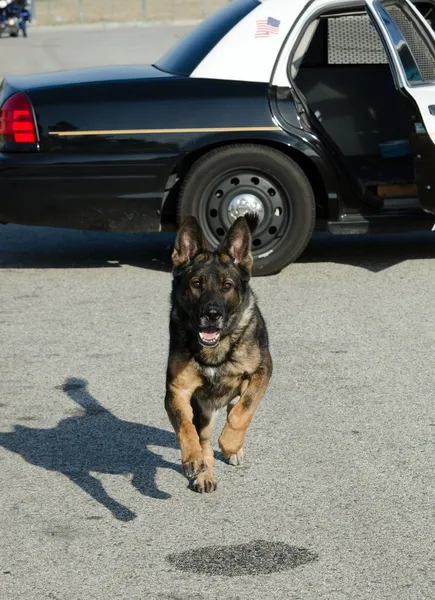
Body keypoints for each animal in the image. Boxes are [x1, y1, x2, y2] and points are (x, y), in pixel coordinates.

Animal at [165, 213, 274, 494]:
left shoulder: (262, 371)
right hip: (205, 410)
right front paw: (193, 458)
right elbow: (186, 427)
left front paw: (231, 443)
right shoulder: (178, 391)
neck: (217, 349)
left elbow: (243, 410)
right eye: (196, 284)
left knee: (236, 405)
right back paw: (205, 473)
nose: (212, 314)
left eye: (227, 286)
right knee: (204, 439)